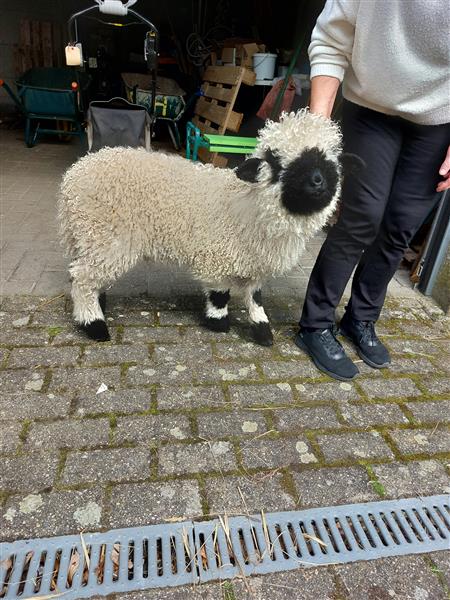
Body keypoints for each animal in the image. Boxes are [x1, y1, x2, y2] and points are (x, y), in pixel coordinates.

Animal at [58, 109, 358, 346]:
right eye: (275, 161)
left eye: (330, 159)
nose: (317, 181)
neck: (250, 207)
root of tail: (72, 177)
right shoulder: (217, 255)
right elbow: (220, 293)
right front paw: (218, 322)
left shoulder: (255, 262)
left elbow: (256, 296)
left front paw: (262, 329)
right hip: (106, 237)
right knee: (82, 278)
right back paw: (94, 324)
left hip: (91, 237)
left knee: (83, 275)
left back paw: (96, 306)